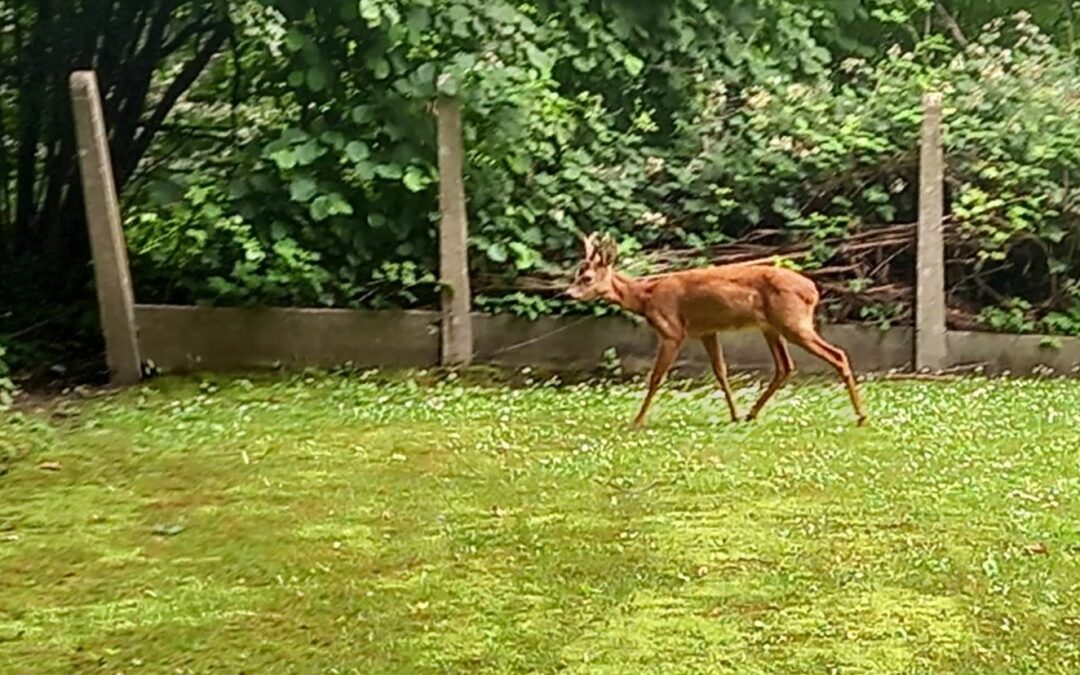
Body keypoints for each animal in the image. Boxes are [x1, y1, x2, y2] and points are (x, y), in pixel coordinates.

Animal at [565, 234, 868, 425]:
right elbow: (721, 373)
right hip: (771, 326)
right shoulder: (706, 331)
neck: (646, 297)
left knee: (837, 354)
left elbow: (656, 378)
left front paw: (637, 421)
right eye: (576, 275)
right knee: (785, 366)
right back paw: (751, 414)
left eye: (587, 278)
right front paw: (733, 415)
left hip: (792, 321)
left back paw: (861, 417)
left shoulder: (672, 330)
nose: (568, 293)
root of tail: (813, 291)